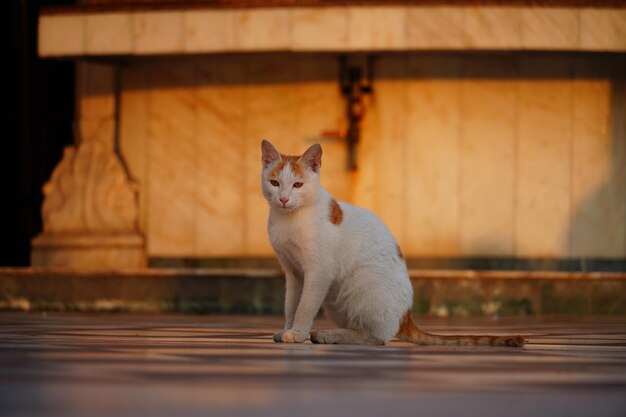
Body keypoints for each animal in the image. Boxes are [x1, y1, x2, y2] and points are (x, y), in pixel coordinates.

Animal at [260, 138, 524, 346]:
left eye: (298, 185)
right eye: (275, 183)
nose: (283, 199)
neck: (288, 219)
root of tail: (406, 317)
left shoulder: (319, 272)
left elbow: (305, 306)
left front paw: (298, 333)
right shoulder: (294, 273)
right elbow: (291, 304)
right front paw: (288, 329)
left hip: (362, 280)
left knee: (379, 337)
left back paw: (329, 334)